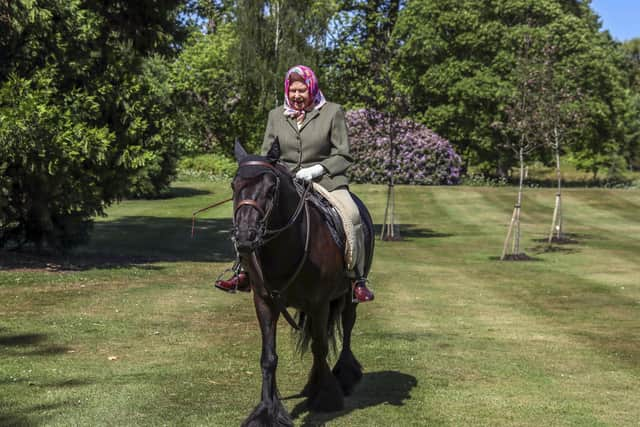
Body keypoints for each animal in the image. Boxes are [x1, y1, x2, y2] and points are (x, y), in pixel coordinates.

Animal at [232, 141, 376, 427]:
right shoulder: (264, 302)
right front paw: (266, 411)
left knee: (347, 328)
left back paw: (344, 375)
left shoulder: (319, 303)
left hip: (349, 296)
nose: (244, 237)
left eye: (271, 188)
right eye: (234, 185)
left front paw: (326, 396)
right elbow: (269, 357)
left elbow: (320, 347)